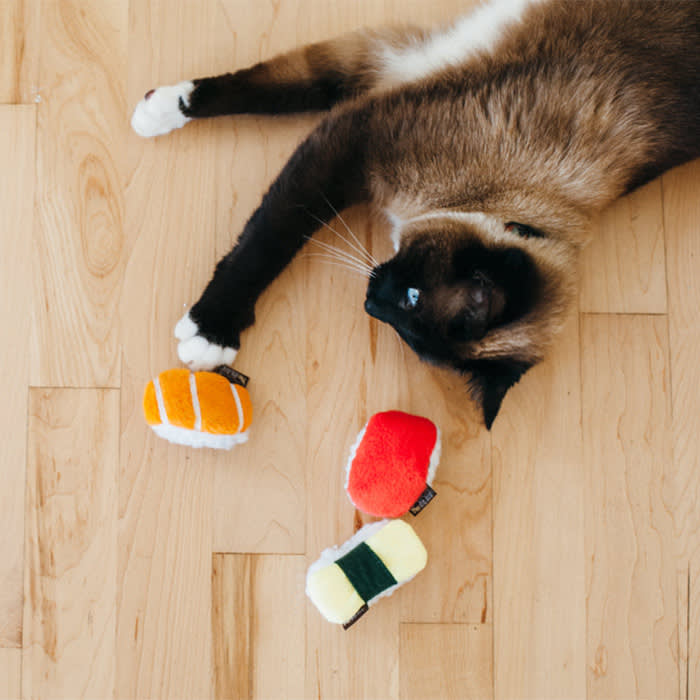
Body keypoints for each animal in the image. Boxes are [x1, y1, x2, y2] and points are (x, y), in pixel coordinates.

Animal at [131, 0, 700, 430]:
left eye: (408, 331)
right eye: (411, 298)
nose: (370, 303)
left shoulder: (387, 76)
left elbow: (291, 89)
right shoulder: (356, 132)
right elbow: (267, 237)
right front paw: (212, 332)